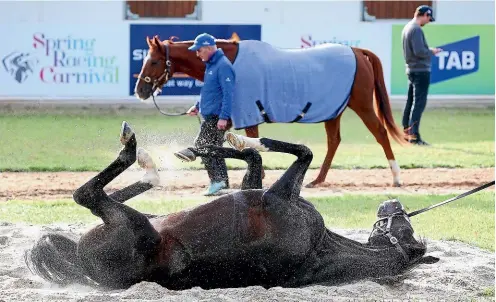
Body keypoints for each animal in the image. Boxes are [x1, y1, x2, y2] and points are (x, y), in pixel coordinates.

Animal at [24, 121, 434, 290]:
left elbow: (299, 151)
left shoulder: (275, 195)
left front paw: (243, 138)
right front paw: (207, 146)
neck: (321, 247)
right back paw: (152, 169)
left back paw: (139, 154)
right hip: (139, 219)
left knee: (88, 195)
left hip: (132, 225)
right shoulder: (264, 190)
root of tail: (82, 262)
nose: (394, 202)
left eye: (407, 229)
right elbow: (254, 160)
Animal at [133, 35, 406, 188]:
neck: (230, 60)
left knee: (380, 133)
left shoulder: (246, 113)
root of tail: (357, 51)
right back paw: (318, 179)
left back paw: (396, 177)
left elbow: (246, 141)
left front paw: (256, 177)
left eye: (154, 61)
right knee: (334, 141)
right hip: (334, 111)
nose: (140, 90)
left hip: (362, 104)